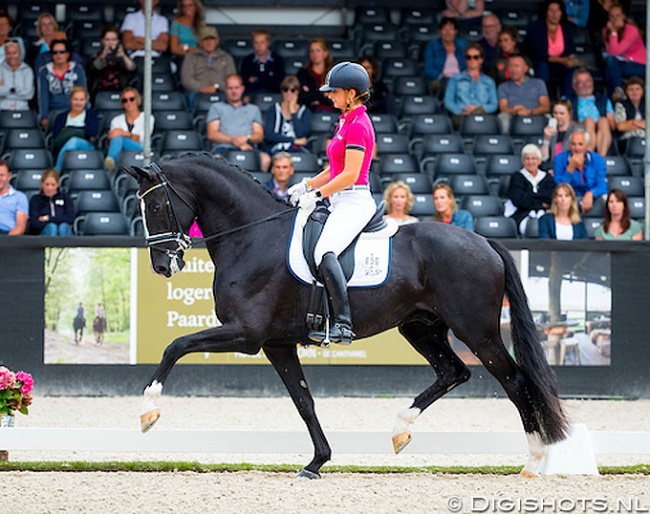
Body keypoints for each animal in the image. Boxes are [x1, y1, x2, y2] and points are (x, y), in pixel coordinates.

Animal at [125, 155, 560, 476]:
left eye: (157, 205)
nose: (162, 266)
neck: (250, 236)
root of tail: (484, 241)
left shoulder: (246, 334)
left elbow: (175, 345)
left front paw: (148, 411)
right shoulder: (277, 344)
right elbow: (303, 401)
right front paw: (317, 462)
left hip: (476, 331)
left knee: (514, 380)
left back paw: (535, 459)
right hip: (420, 328)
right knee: (453, 372)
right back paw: (400, 430)